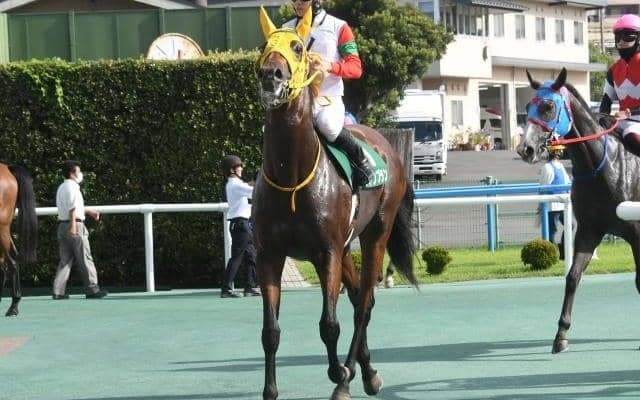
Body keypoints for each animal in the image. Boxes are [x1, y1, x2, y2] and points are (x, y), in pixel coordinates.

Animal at [253, 8, 417, 400]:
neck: (291, 177)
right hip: (345, 248)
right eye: (264, 47)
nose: (270, 75)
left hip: (375, 234)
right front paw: (271, 391)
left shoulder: (325, 251)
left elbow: (329, 323)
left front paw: (338, 375)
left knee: (364, 306)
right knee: (358, 297)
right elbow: (270, 332)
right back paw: (366, 371)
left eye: (298, 47)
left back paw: (351, 375)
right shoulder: (270, 254)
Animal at [517, 67, 640, 354]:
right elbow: (572, 277)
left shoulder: (637, 232)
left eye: (549, 107)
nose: (525, 149)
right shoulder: (588, 231)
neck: (602, 167)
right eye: (527, 106)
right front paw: (561, 334)